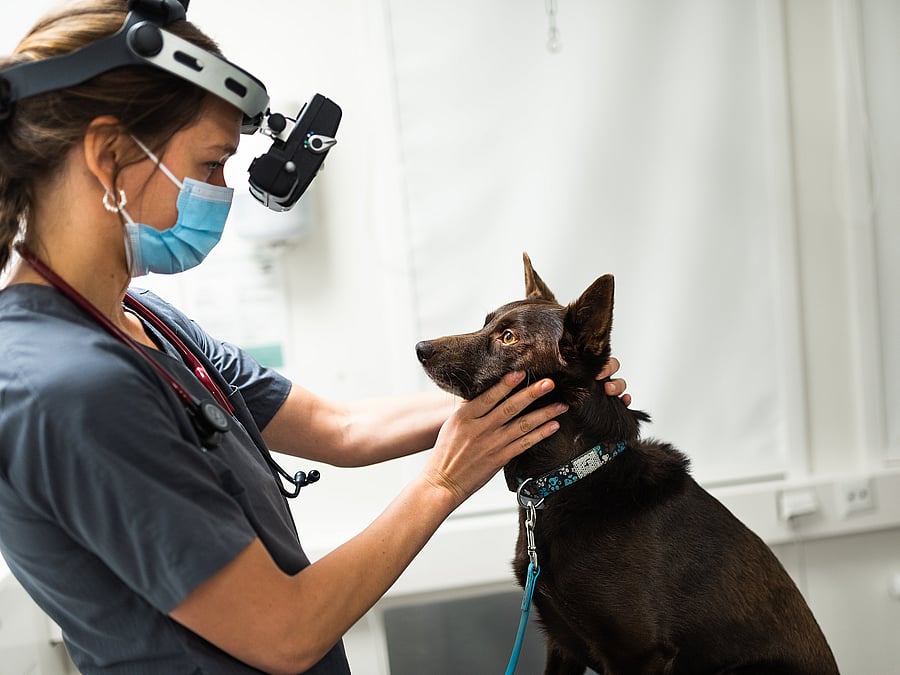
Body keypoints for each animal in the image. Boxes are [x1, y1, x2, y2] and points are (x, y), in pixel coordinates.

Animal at [415, 253, 839, 675]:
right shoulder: (562, 641)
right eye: (486, 323)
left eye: (508, 337)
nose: (421, 348)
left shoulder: (638, 653)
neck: (570, 476)